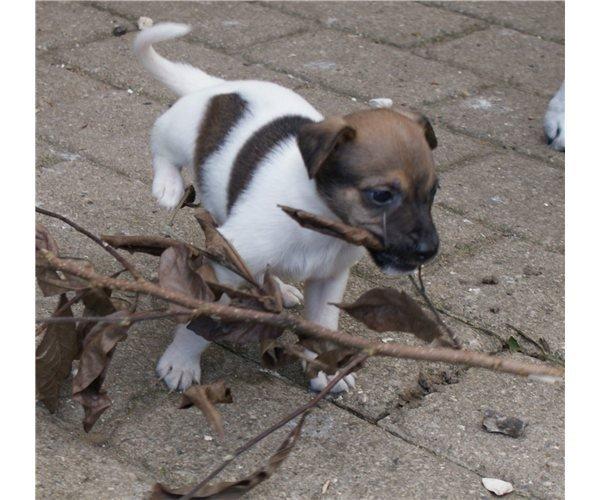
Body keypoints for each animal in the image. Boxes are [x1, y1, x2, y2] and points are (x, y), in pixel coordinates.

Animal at [134, 23, 438, 392]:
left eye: (432, 193)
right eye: (381, 195)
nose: (429, 250)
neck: (317, 217)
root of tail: (218, 87)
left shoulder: (328, 279)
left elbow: (323, 326)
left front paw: (326, 370)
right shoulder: (225, 263)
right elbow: (204, 320)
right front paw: (180, 361)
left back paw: (279, 287)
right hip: (179, 132)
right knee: (160, 141)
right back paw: (167, 184)